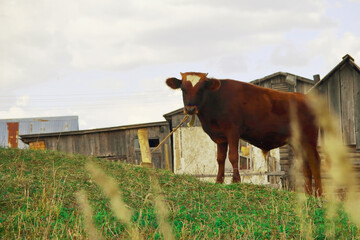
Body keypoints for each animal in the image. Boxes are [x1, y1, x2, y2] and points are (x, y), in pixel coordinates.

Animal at [165, 72, 322, 196]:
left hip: (309, 138)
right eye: (183, 89)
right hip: (297, 141)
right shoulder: (220, 137)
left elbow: (233, 156)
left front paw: (236, 181)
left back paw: (319, 194)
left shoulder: (233, 132)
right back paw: (308, 194)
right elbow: (220, 159)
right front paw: (219, 181)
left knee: (315, 162)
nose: (190, 109)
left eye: (202, 88)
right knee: (306, 165)